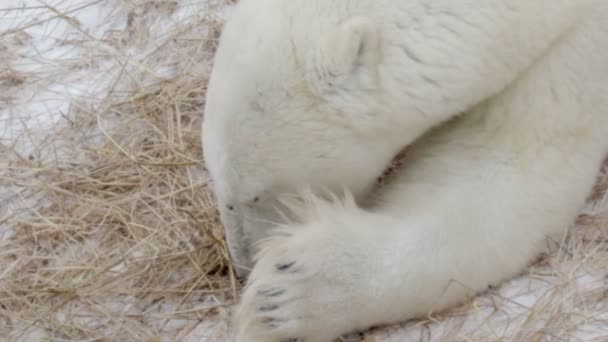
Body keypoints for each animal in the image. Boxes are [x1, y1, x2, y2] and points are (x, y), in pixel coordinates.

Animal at [202, 0, 608, 340]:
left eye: (253, 195)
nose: (242, 266)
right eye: (219, 186)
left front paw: (286, 294)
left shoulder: (578, 50)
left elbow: (509, 162)